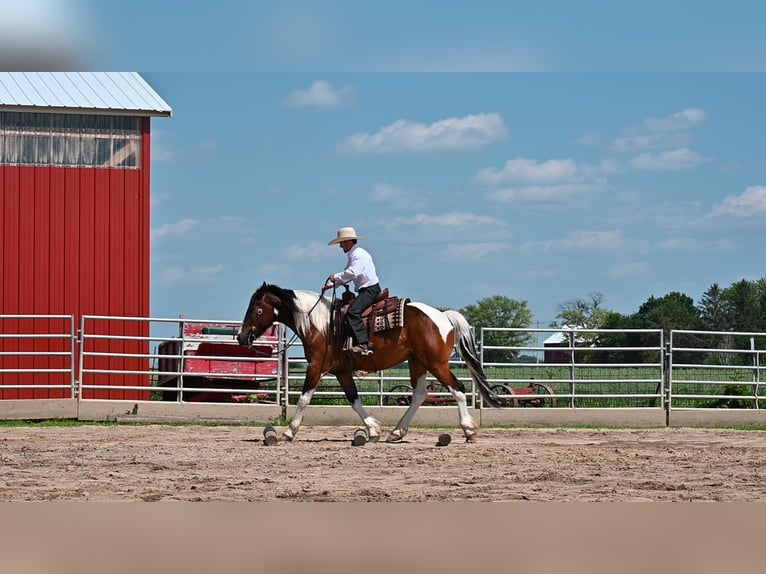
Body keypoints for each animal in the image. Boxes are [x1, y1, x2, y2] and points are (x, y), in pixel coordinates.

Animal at [237, 284, 508, 446]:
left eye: (258, 309)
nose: (241, 337)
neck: (319, 323)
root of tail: (443, 315)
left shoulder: (316, 366)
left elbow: (304, 399)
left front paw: (288, 432)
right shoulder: (341, 371)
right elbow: (354, 400)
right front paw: (374, 429)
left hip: (436, 363)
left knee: (458, 389)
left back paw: (469, 431)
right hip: (417, 363)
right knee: (420, 394)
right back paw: (397, 432)